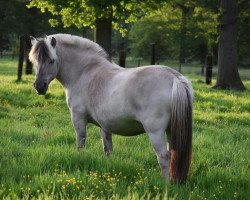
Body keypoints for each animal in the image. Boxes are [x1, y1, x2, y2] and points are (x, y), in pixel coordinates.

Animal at [29, 34, 193, 183]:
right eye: (35, 61)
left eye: (51, 60)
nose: (39, 86)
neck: (85, 72)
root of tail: (174, 78)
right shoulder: (105, 125)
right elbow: (107, 149)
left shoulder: (78, 118)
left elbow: (81, 143)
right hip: (171, 130)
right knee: (174, 154)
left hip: (155, 132)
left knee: (164, 156)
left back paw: (166, 185)